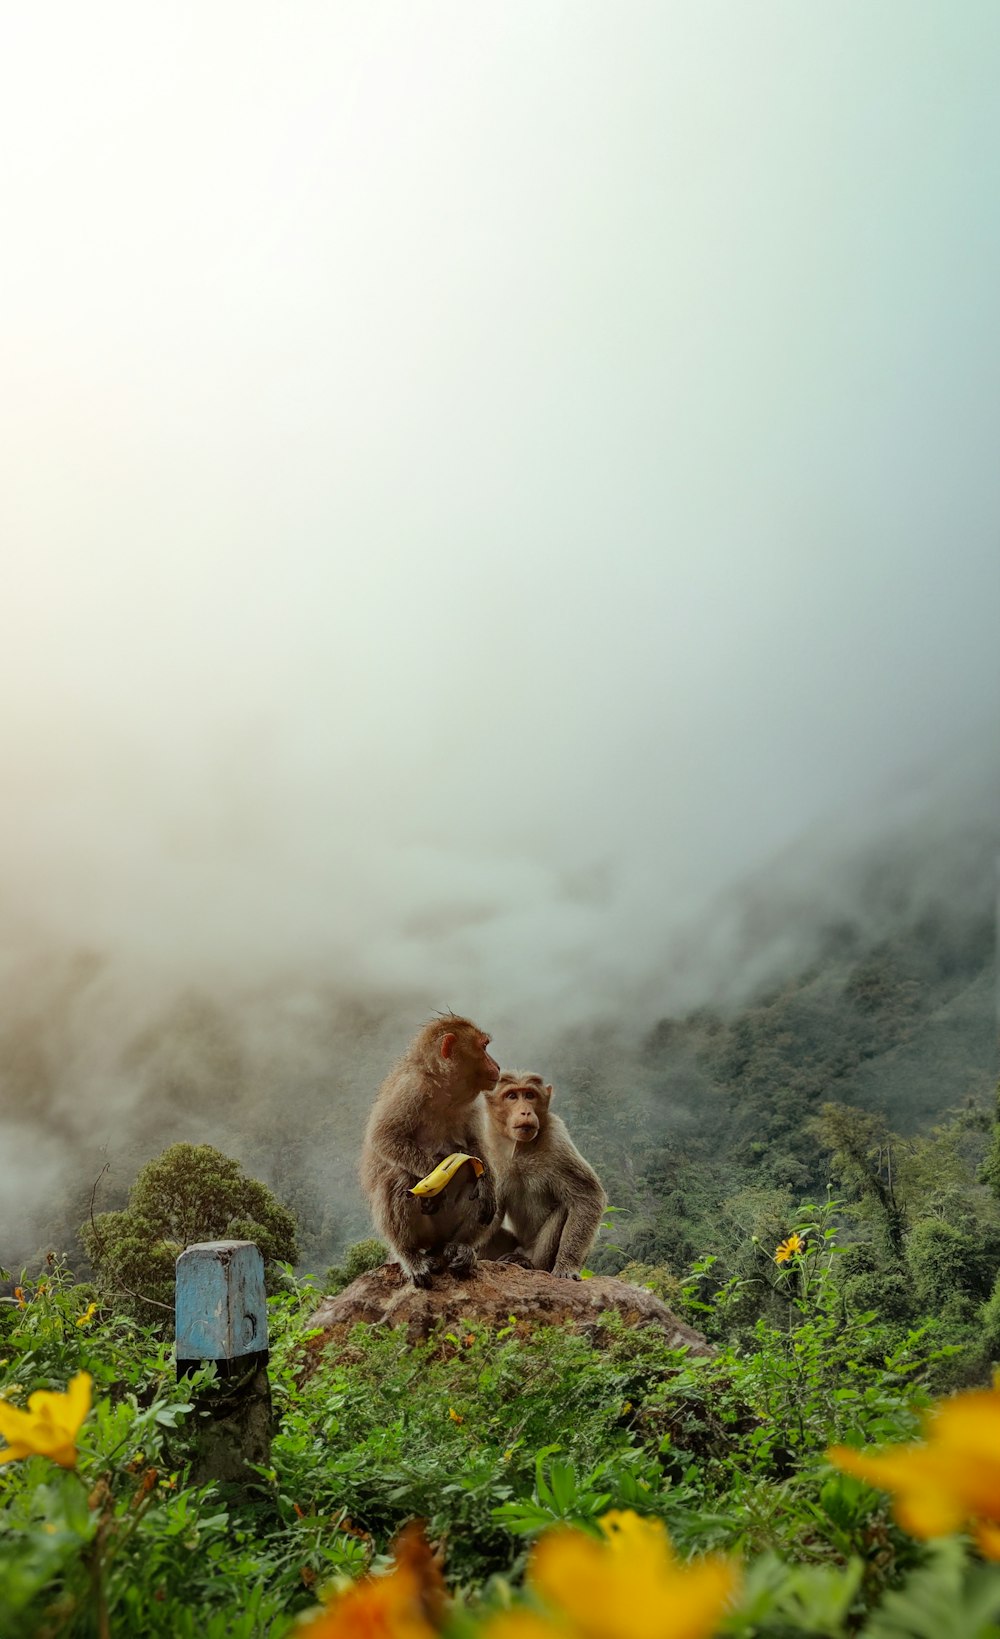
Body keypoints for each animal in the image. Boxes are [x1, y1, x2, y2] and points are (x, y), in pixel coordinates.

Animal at [357, 1009, 498, 1291]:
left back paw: (461, 1247)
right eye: (484, 1047)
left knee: (471, 1175)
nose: (497, 1066)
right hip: (425, 1233)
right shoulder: (410, 1089)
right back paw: (410, 1255)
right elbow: (384, 1137)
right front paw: (430, 1172)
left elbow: (477, 1147)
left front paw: (487, 1183)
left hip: (446, 1231)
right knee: (399, 1178)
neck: (445, 1092)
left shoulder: (473, 1103)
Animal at [478, 1068, 603, 1284]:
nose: (526, 1112)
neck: (520, 1149)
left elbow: (587, 1197)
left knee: (565, 1208)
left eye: (530, 1095)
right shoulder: (487, 1146)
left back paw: (527, 1263)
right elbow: (490, 1208)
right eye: (512, 1096)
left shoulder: (557, 1139)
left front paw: (567, 1266)